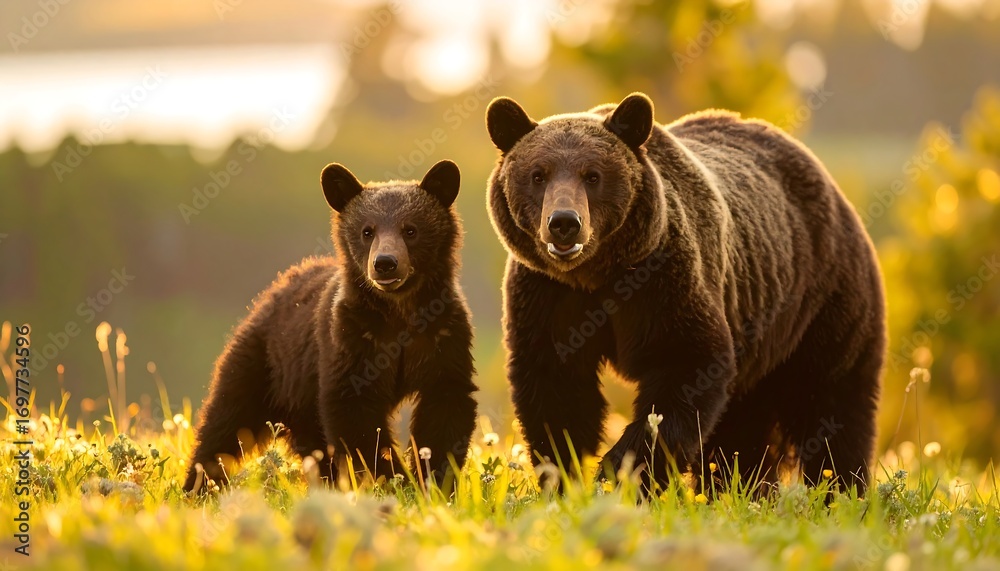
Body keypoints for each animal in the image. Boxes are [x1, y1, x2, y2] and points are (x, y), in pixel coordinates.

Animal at [183, 159, 478, 492]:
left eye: (410, 229)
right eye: (367, 231)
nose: (385, 263)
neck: (399, 310)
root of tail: (273, 291)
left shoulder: (443, 335)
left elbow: (446, 404)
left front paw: (432, 479)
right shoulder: (352, 338)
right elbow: (355, 413)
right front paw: (392, 475)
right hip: (267, 364)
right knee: (227, 419)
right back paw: (198, 485)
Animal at [485, 93, 885, 496]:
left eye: (592, 175)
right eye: (538, 174)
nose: (564, 223)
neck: (597, 274)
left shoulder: (663, 282)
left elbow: (684, 368)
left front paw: (621, 473)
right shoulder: (549, 296)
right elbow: (558, 389)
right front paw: (566, 476)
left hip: (822, 299)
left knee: (830, 399)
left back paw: (840, 488)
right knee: (744, 428)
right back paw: (743, 488)